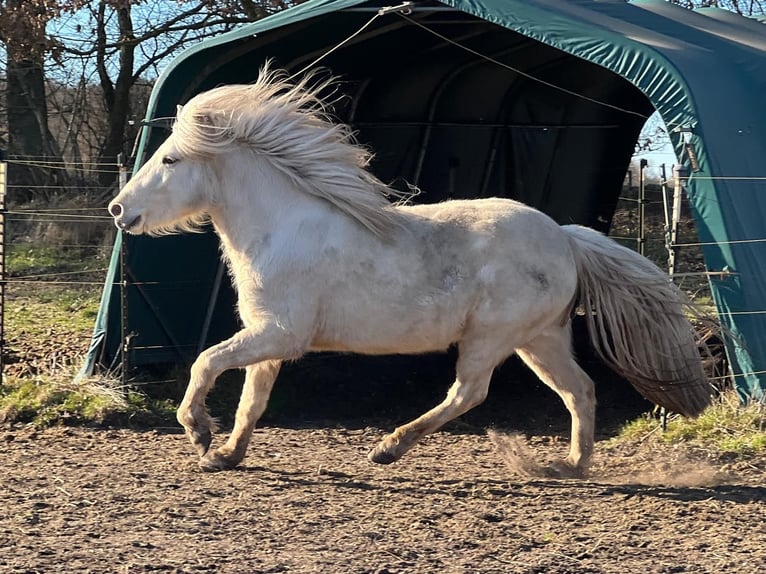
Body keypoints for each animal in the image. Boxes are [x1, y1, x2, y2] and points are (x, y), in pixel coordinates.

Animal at [108, 65, 712, 475]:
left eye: (171, 159)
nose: (119, 210)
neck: (283, 229)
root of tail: (564, 237)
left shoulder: (278, 333)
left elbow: (206, 363)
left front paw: (198, 433)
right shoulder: (269, 337)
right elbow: (253, 400)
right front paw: (226, 454)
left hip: (493, 338)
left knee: (470, 393)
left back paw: (389, 447)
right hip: (541, 338)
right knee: (579, 391)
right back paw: (569, 467)